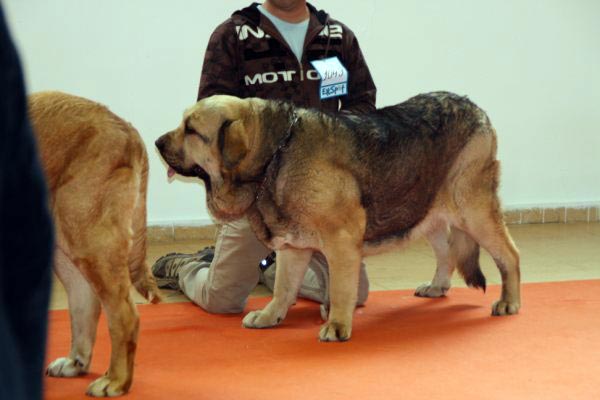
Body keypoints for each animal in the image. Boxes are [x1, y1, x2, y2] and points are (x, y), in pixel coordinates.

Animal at [29, 92, 161, 396]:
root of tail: (127, 130)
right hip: (67, 246)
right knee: (85, 301)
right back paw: (75, 363)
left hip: (90, 241)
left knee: (124, 315)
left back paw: (116, 381)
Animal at [156, 90, 520, 340]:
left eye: (191, 129)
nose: (158, 142)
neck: (275, 154)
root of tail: (475, 108)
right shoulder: (294, 247)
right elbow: (283, 289)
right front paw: (271, 316)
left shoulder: (342, 243)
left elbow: (342, 289)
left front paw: (337, 324)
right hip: (427, 212)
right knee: (446, 252)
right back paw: (437, 286)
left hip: (472, 210)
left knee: (509, 255)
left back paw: (510, 302)